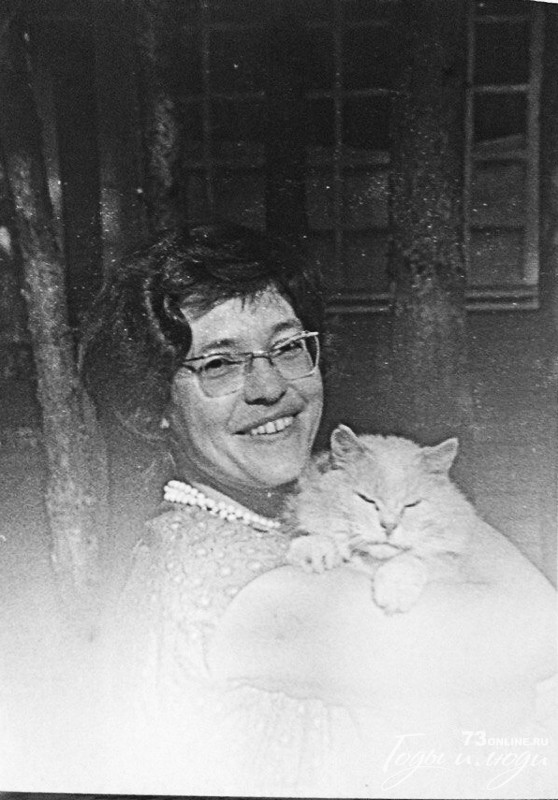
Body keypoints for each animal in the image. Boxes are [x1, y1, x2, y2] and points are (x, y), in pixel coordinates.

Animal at [285, 424, 477, 614]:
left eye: (411, 504)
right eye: (367, 499)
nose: (389, 526)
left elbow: (415, 559)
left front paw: (395, 591)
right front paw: (316, 550)